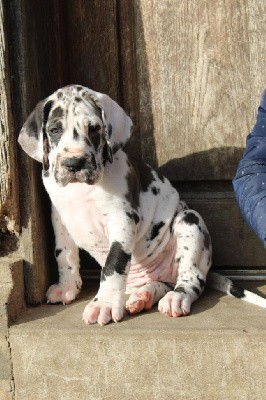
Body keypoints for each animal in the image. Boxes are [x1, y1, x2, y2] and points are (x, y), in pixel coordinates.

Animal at [18, 84, 266, 324]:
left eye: (94, 129)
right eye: (54, 130)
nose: (74, 162)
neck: (81, 191)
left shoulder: (121, 219)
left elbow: (113, 265)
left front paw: (103, 305)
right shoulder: (60, 218)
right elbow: (64, 253)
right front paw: (67, 286)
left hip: (190, 222)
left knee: (192, 280)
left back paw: (177, 297)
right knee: (162, 283)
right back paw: (144, 295)